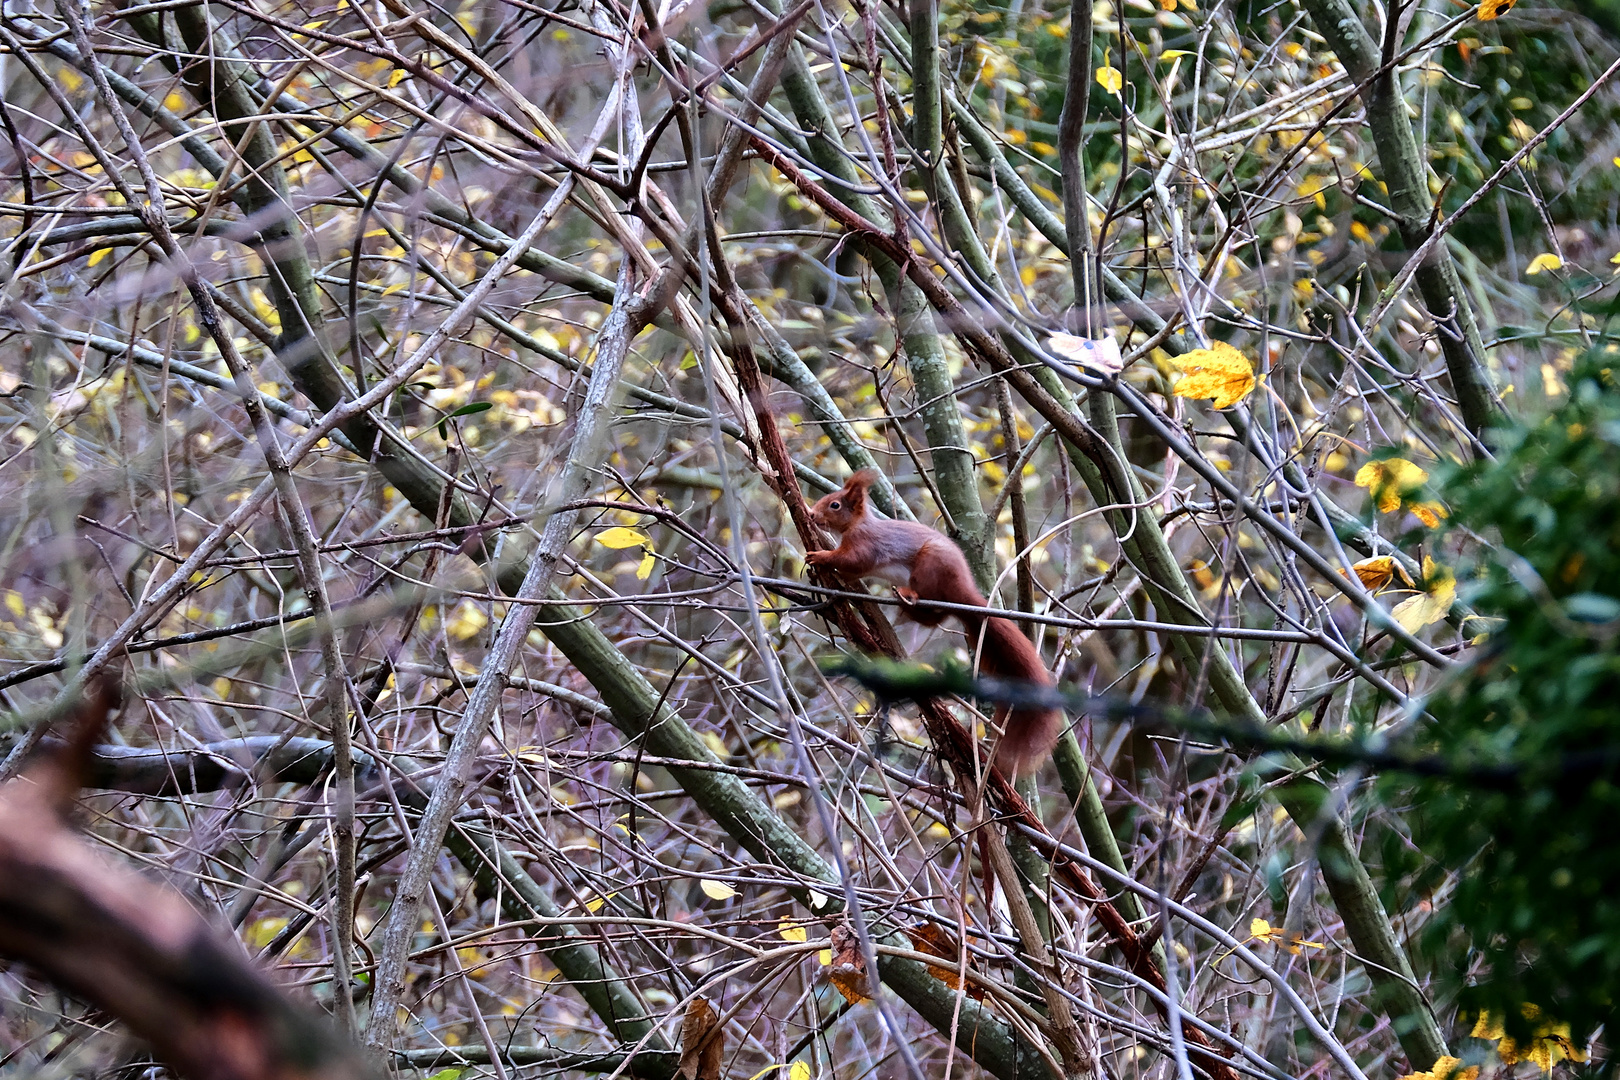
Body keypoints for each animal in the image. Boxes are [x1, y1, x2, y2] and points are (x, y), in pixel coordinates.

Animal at [806, 469, 1062, 773]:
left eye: (834, 505)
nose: (811, 514)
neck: (857, 525)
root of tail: (961, 588)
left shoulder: (865, 544)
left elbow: (853, 560)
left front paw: (821, 556)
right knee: (935, 618)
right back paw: (907, 608)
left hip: (929, 567)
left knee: (931, 608)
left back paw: (908, 598)